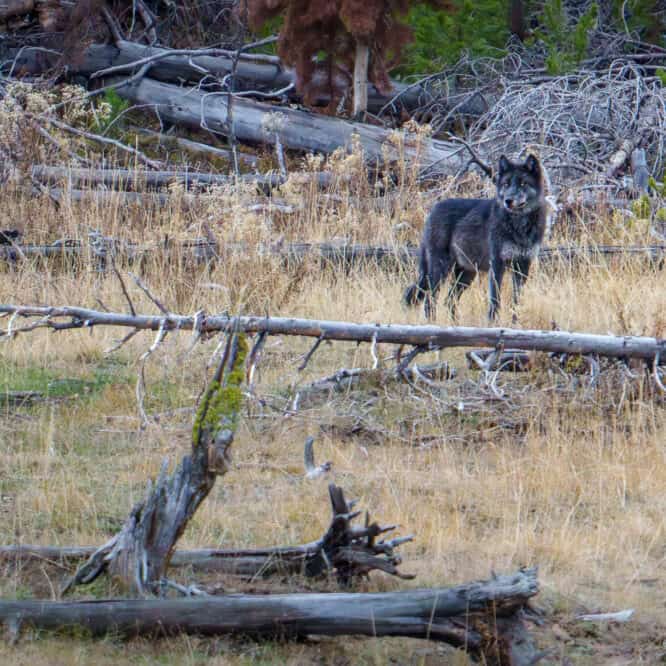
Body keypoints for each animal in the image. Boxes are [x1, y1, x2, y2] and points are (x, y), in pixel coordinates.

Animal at [404, 154, 547, 321]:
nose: (508, 200)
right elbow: (495, 299)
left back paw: (455, 324)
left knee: (449, 300)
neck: (519, 226)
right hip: (440, 269)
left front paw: (514, 322)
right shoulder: (497, 264)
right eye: (506, 184)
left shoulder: (523, 266)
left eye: (523, 183)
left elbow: (516, 300)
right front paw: (492, 322)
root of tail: (433, 209)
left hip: (466, 274)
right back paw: (432, 323)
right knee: (430, 298)